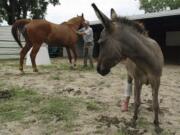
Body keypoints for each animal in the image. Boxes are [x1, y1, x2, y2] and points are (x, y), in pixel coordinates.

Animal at [92, 3, 164, 131]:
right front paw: (134, 120)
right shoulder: (138, 80)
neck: (147, 59)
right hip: (130, 76)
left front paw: (156, 124)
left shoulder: (156, 81)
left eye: (101, 42)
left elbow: (155, 104)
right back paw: (126, 106)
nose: (99, 70)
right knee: (129, 90)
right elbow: (136, 101)